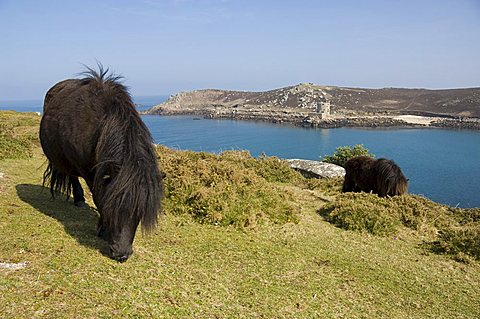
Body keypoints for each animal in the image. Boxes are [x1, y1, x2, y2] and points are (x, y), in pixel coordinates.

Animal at [39, 65, 163, 262]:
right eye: (113, 208)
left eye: (139, 213)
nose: (121, 254)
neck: (102, 124)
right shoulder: (90, 172)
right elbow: (99, 197)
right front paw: (103, 230)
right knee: (73, 176)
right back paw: (79, 199)